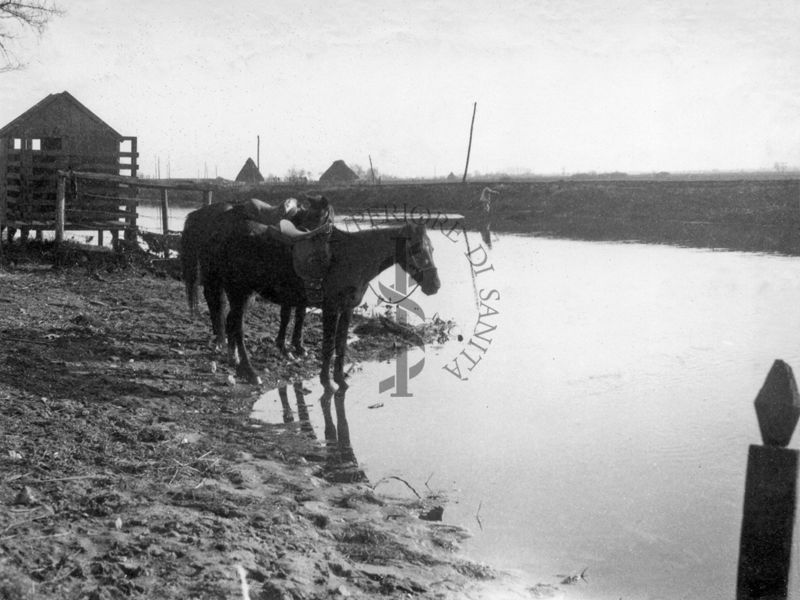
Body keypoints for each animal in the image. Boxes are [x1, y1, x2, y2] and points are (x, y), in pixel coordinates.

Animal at [182, 197, 332, 356]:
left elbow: (300, 314)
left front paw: (298, 346)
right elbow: (286, 315)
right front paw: (284, 346)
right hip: (213, 276)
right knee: (215, 302)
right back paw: (221, 340)